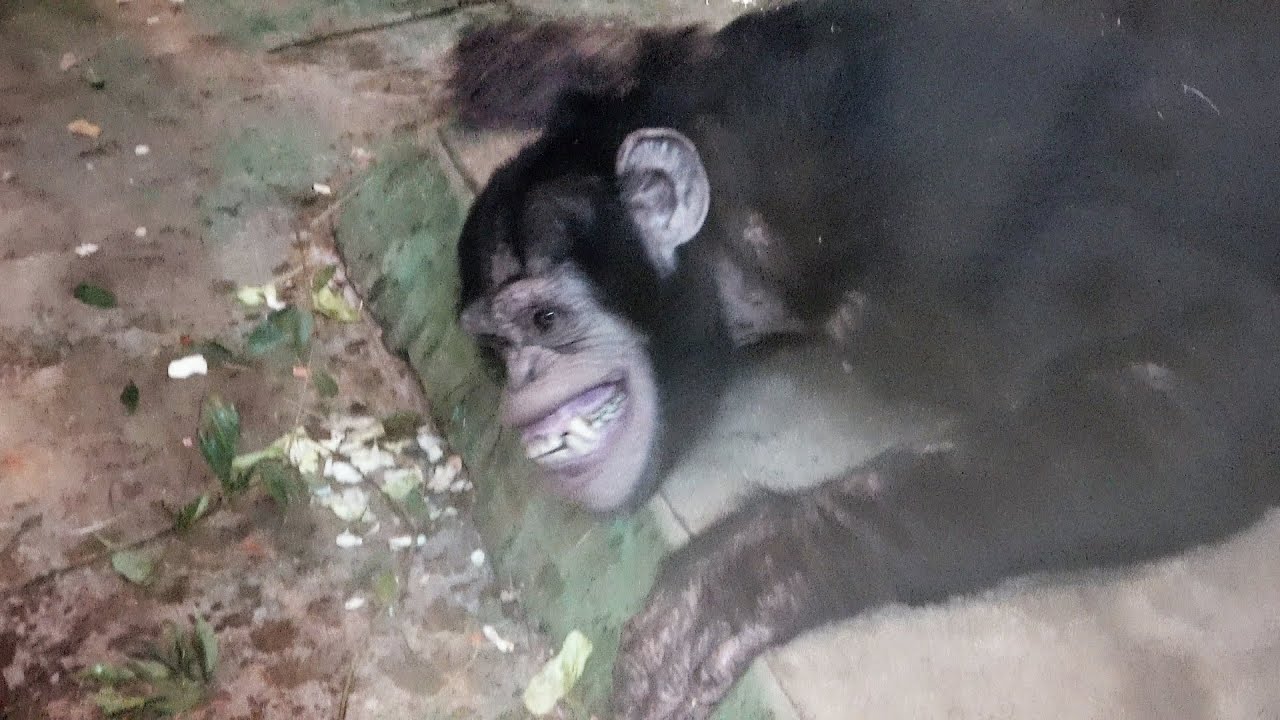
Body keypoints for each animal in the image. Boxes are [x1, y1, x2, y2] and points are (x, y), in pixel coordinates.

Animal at [447, 1, 1280, 718]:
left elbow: (1197, 386)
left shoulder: (965, 255)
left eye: (545, 319)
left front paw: (735, 580)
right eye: (496, 346)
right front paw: (519, 58)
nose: (523, 380)